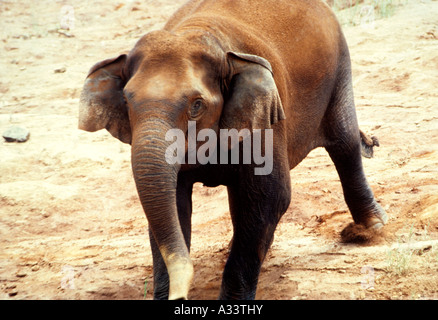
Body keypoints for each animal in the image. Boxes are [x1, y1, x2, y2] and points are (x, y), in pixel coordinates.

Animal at [78, 0, 386, 300]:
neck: (199, 33)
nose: (181, 294)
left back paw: (371, 228)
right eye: (126, 101)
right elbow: (173, 203)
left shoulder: (267, 120)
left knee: (344, 143)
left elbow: (270, 195)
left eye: (196, 105)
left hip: (339, 68)